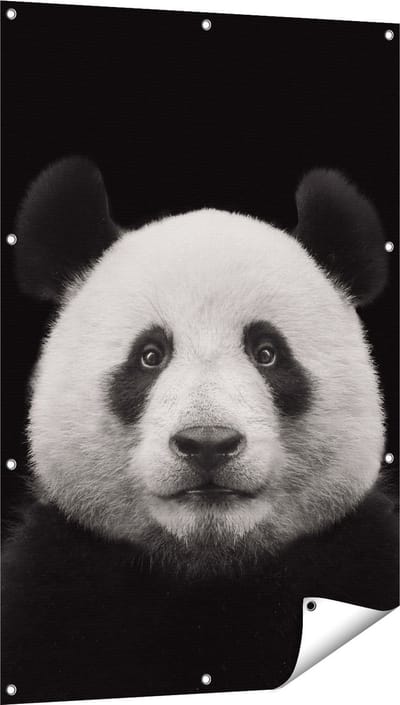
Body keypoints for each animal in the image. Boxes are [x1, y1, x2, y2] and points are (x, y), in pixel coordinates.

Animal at [2, 157, 398, 702]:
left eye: (267, 352)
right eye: (150, 355)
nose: (208, 443)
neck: (207, 568)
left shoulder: (360, 558)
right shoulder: (54, 589)